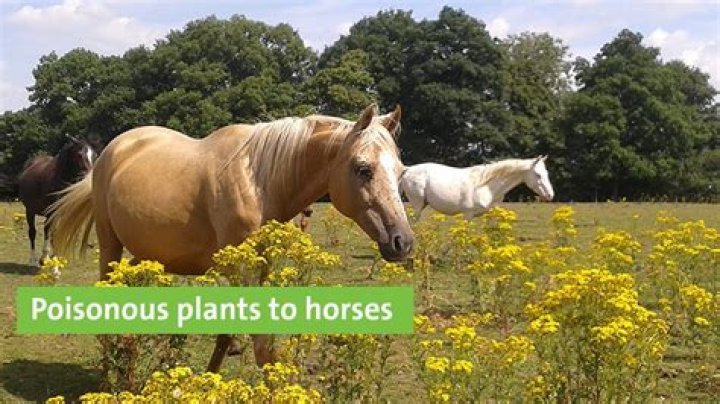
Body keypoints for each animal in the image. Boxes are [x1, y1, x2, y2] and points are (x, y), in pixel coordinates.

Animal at [17, 136, 97, 266]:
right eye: (79, 155)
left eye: (94, 155)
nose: (89, 177)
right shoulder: (51, 212)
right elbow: (49, 231)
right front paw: (47, 259)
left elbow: (58, 233)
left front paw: (56, 258)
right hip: (30, 211)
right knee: (33, 232)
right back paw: (33, 259)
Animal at [49, 104, 414, 372]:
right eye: (363, 169)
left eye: (399, 171)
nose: (403, 242)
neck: (259, 181)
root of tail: (114, 148)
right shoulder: (243, 271)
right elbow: (262, 347)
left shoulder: (257, 269)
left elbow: (227, 336)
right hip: (109, 243)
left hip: (149, 253)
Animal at [400, 156, 555, 220]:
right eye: (538, 175)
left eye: (547, 173)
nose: (550, 195)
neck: (486, 185)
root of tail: (407, 170)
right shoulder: (468, 214)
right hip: (417, 205)